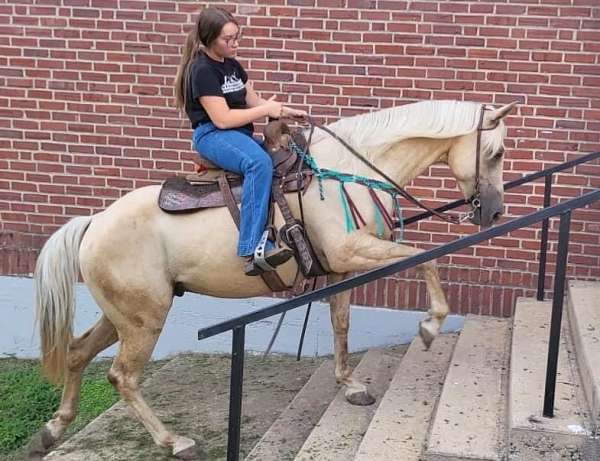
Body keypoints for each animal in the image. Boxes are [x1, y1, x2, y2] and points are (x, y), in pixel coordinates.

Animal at [29, 99, 516, 456]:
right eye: (496, 153)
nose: (493, 213)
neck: (348, 170)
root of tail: (94, 222)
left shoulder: (341, 266)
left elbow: (341, 323)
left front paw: (350, 384)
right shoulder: (351, 249)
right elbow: (425, 260)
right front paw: (431, 326)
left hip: (125, 315)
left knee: (77, 352)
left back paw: (53, 429)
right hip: (144, 319)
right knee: (122, 377)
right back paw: (173, 441)